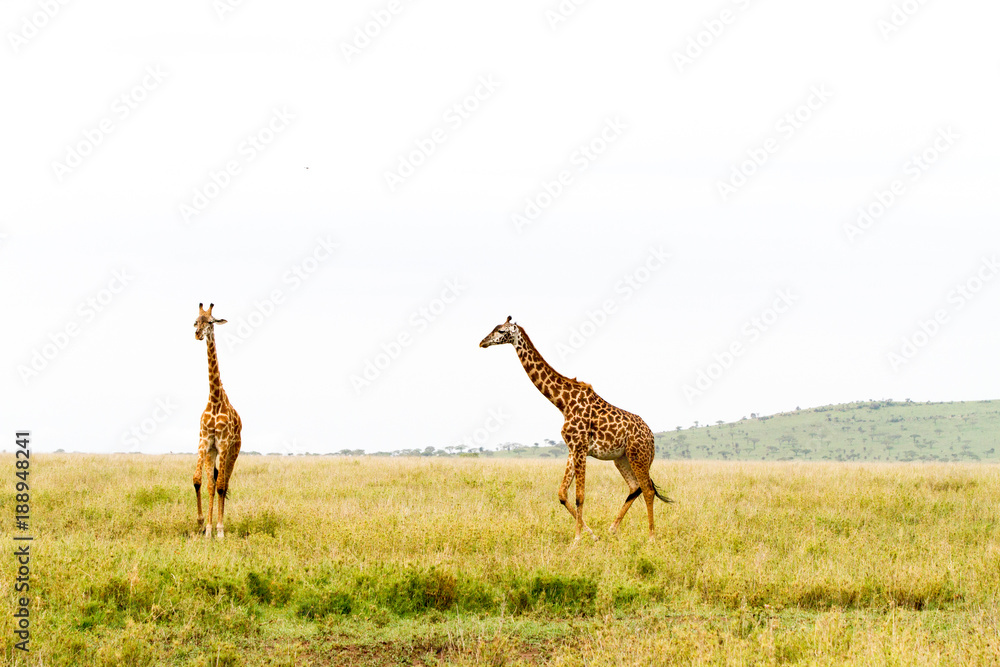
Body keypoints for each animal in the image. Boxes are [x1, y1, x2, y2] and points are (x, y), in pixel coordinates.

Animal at [480, 316, 672, 542]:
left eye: (501, 331)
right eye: (493, 328)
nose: (482, 342)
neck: (563, 403)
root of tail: (651, 437)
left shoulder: (580, 448)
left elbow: (580, 495)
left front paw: (577, 538)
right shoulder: (572, 449)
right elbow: (562, 494)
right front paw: (592, 535)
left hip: (638, 455)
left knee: (648, 490)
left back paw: (651, 537)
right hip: (621, 458)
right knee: (636, 486)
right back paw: (612, 528)